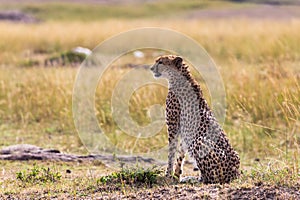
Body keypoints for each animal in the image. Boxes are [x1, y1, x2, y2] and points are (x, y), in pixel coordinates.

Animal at [149, 55, 239, 184]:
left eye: (160, 62)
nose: (151, 68)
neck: (179, 77)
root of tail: (235, 173)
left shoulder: (173, 127)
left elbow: (171, 152)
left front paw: (167, 175)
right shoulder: (184, 130)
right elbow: (180, 154)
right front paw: (176, 176)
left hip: (199, 141)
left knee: (209, 179)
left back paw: (195, 179)